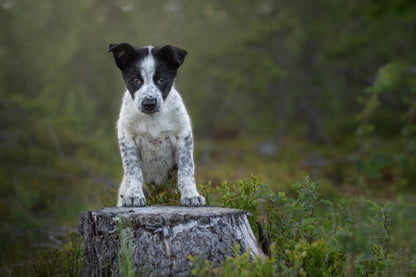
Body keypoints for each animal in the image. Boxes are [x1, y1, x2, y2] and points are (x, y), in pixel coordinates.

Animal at [107, 43, 205, 206]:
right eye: (136, 80)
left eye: (161, 79)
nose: (149, 103)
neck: (151, 119)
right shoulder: (127, 137)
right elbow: (133, 170)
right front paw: (134, 195)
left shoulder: (183, 136)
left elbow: (186, 169)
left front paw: (191, 195)